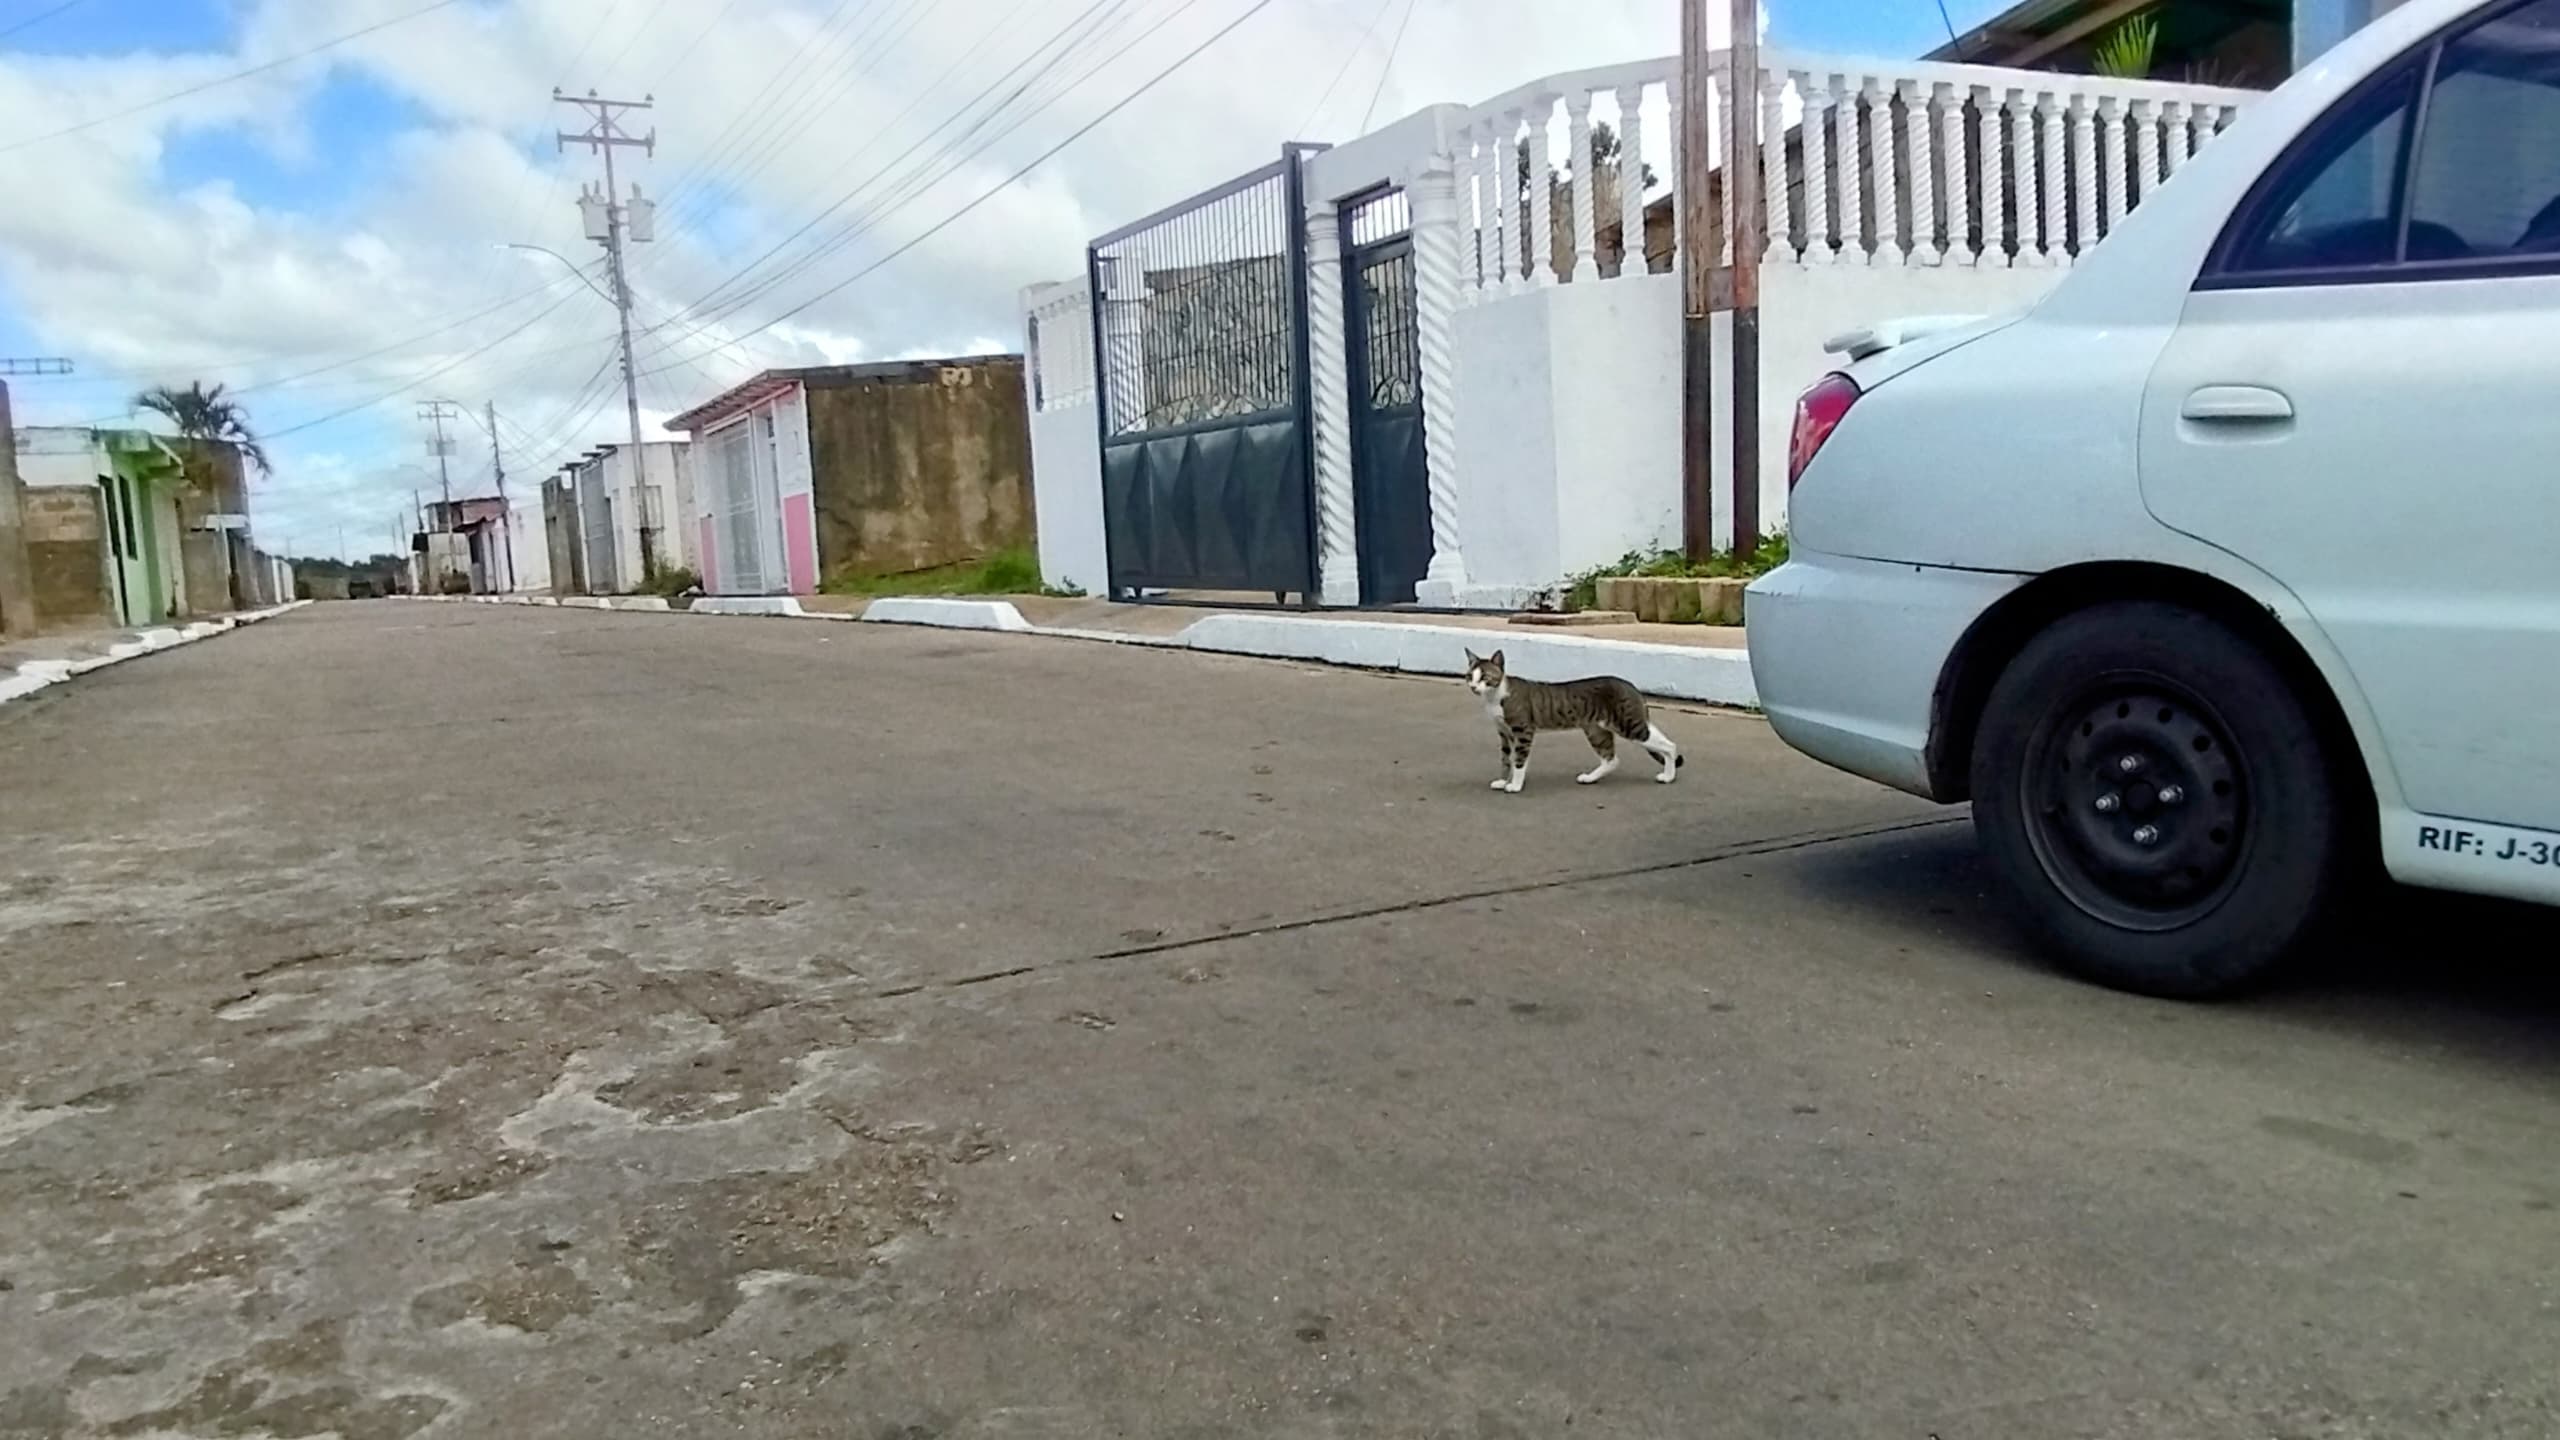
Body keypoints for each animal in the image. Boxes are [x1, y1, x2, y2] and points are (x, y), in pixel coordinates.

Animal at [1464, 648, 1679, 789]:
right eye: (1469, 676)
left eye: (1485, 677)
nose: (1473, 687)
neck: (1495, 697)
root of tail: (1631, 685)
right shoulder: (1504, 733)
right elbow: (1505, 759)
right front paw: (1502, 781)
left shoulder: (1523, 731)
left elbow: (1518, 760)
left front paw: (1515, 785)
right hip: (1597, 730)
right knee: (1612, 759)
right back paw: (1590, 778)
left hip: (1629, 725)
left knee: (1669, 746)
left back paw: (1668, 776)